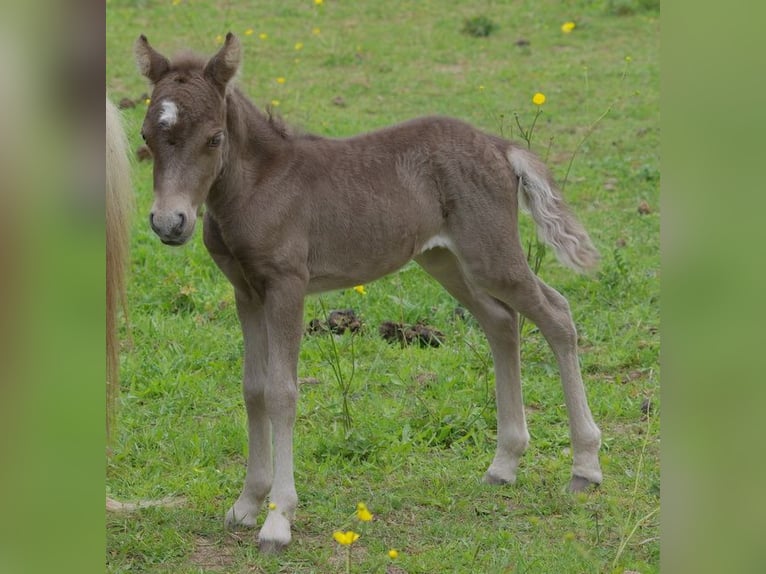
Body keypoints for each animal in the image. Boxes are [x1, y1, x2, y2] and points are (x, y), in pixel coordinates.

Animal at [138, 31, 608, 552]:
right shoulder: (246, 290)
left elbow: (282, 392)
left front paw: (278, 520)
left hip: (491, 255)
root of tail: (499, 145)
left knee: (556, 312)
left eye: (214, 138)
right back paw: (504, 464)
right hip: (444, 259)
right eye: (146, 137)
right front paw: (246, 504)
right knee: (502, 322)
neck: (259, 184)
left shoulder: (287, 285)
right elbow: (253, 389)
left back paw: (585, 467)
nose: (169, 222)